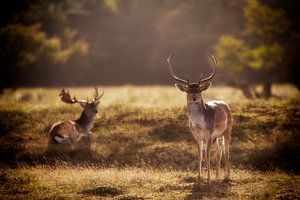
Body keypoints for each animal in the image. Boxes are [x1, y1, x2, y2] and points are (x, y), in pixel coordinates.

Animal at [168, 52, 233, 184]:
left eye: (199, 90)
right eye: (188, 90)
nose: (194, 97)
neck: (200, 124)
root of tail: (226, 105)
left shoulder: (209, 135)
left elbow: (207, 155)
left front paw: (208, 179)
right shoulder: (197, 136)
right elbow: (199, 155)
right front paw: (199, 178)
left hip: (227, 130)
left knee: (226, 151)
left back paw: (227, 175)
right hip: (216, 137)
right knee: (219, 151)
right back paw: (217, 176)